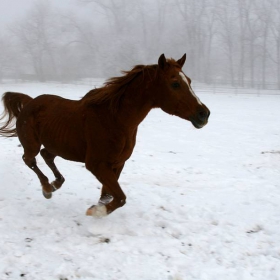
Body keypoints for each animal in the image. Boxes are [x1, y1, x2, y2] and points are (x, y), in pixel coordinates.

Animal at [0, 53, 210, 218]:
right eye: (175, 84)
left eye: (189, 81)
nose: (204, 114)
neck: (115, 119)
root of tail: (30, 102)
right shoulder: (96, 164)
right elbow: (120, 197)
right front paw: (96, 212)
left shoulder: (117, 163)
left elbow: (109, 195)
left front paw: (98, 207)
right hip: (32, 144)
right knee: (30, 159)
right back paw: (47, 188)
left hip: (59, 145)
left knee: (46, 156)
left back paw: (56, 183)